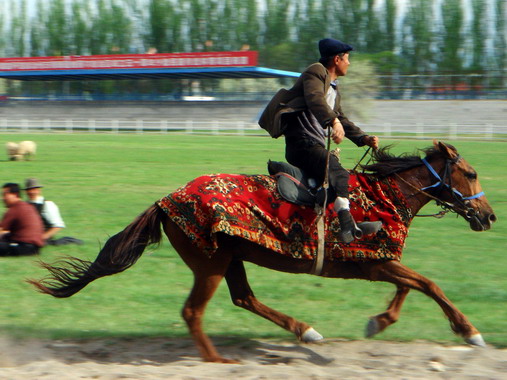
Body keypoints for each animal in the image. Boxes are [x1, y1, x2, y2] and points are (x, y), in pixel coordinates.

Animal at [28, 142, 496, 362]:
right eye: (472, 173)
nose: (489, 216)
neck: (384, 197)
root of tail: (165, 200)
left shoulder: (380, 263)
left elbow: (411, 287)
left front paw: (378, 322)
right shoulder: (373, 263)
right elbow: (428, 284)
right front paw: (470, 331)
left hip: (230, 259)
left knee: (244, 298)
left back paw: (305, 329)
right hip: (210, 262)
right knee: (195, 311)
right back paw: (218, 359)